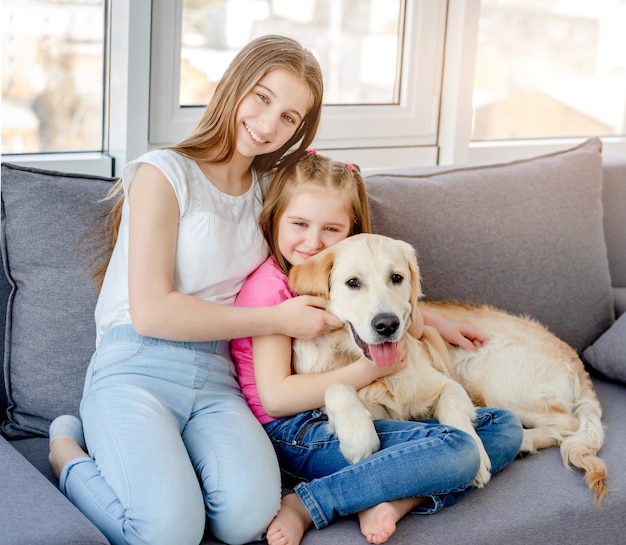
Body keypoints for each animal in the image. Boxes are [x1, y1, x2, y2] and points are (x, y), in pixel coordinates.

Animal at [290, 232, 608, 504]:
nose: (387, 325)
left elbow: (455, 411)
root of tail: (574, 358)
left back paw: (523, 441)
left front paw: (477, 456)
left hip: (488, 377)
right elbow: (336, 385)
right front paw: (358, 436)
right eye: (353, 282)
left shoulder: (447, 384)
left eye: (396, 278)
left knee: (566, 422)